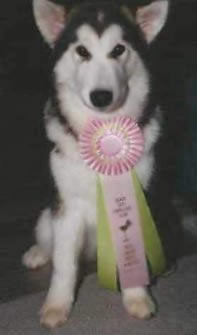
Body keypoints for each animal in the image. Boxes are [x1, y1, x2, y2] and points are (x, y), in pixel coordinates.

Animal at [22, 0, 182, 330]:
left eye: (119, 49)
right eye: (82, 51)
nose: (101, 96)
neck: (104, 133)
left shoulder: (139, 199)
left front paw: (136, 297)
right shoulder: (67, 209)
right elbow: (64, 265)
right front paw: (56, 306)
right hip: (48, 216)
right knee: (48, 240)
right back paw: (37, 253)